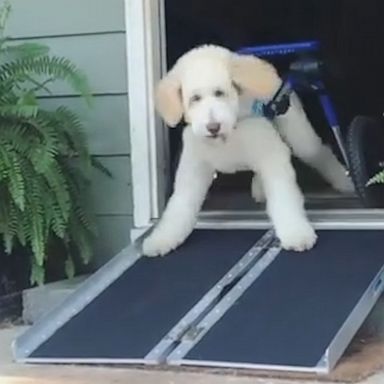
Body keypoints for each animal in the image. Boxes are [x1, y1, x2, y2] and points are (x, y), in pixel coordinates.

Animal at [142, 45, 354, 256]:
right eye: (195, 98)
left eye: (220, 93)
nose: (213, 127)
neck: (228, 134)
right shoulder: (193, 169)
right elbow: (179, 205)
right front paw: (162, 239)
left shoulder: (271, 156)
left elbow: (284, 197)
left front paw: (296, 233)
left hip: (298, 133)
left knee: (319, 152)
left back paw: (345, 181)